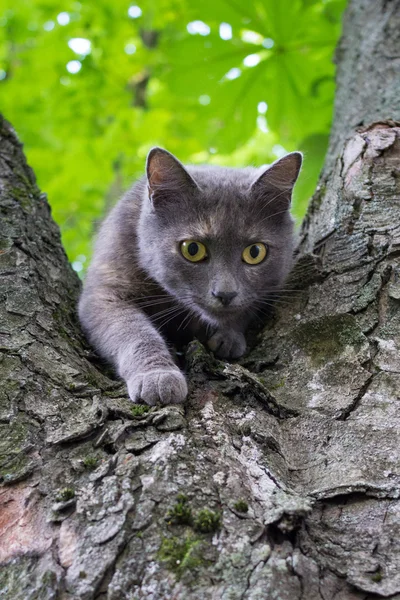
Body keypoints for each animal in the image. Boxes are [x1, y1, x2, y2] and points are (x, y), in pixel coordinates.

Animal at [79, 148, 302, 406]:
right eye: (192, 249)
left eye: (255, 252)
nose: (225, 293)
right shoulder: (104, 291)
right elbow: (132, 330)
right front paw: (158, 377)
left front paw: (228, 337)